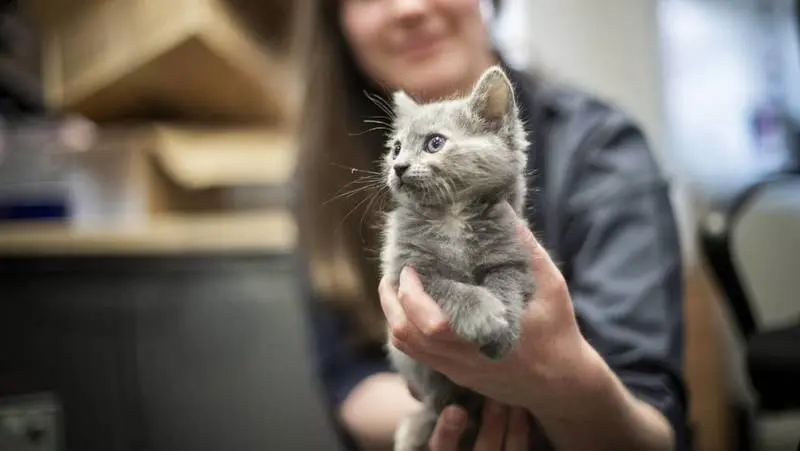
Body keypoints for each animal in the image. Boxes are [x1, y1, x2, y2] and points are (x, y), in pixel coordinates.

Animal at [382, 65, 536, 450]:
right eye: (396, 148)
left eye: (435, 143)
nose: (399, 167)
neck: (451, 216)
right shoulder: (407, 272)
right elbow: (447, 286)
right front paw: (481, 313)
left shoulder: (515, 258)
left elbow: (505, 282)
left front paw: (503, 330)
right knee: (437, 408)